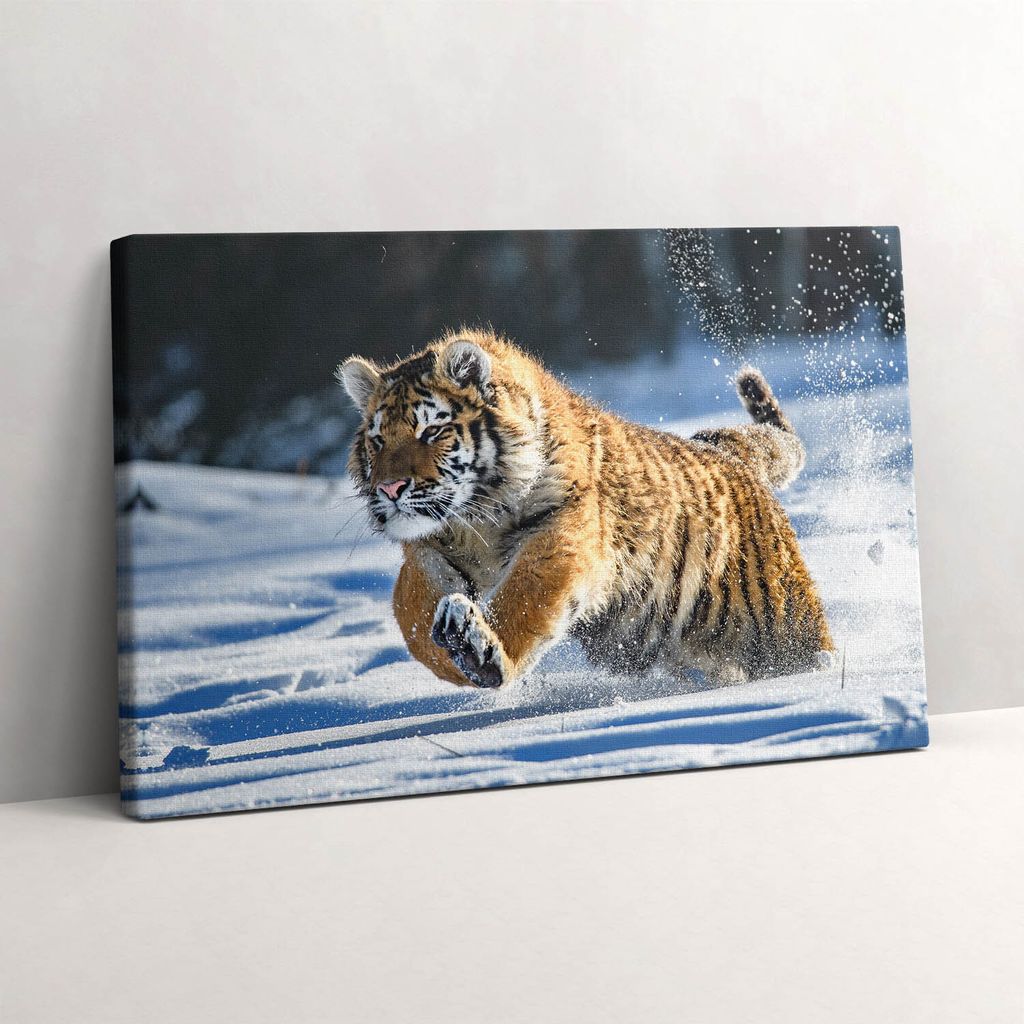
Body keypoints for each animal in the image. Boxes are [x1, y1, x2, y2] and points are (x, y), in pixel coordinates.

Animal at [337, 327, 834, 689]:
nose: (390, 487)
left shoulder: (562, 531)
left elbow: (525, 597)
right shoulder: (424, 552)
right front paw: (453, 647)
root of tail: (727, 451)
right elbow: (413, 617)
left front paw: (480, 652)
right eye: (378, 440)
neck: (473, 519)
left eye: (432, 431)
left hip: (783, 621)